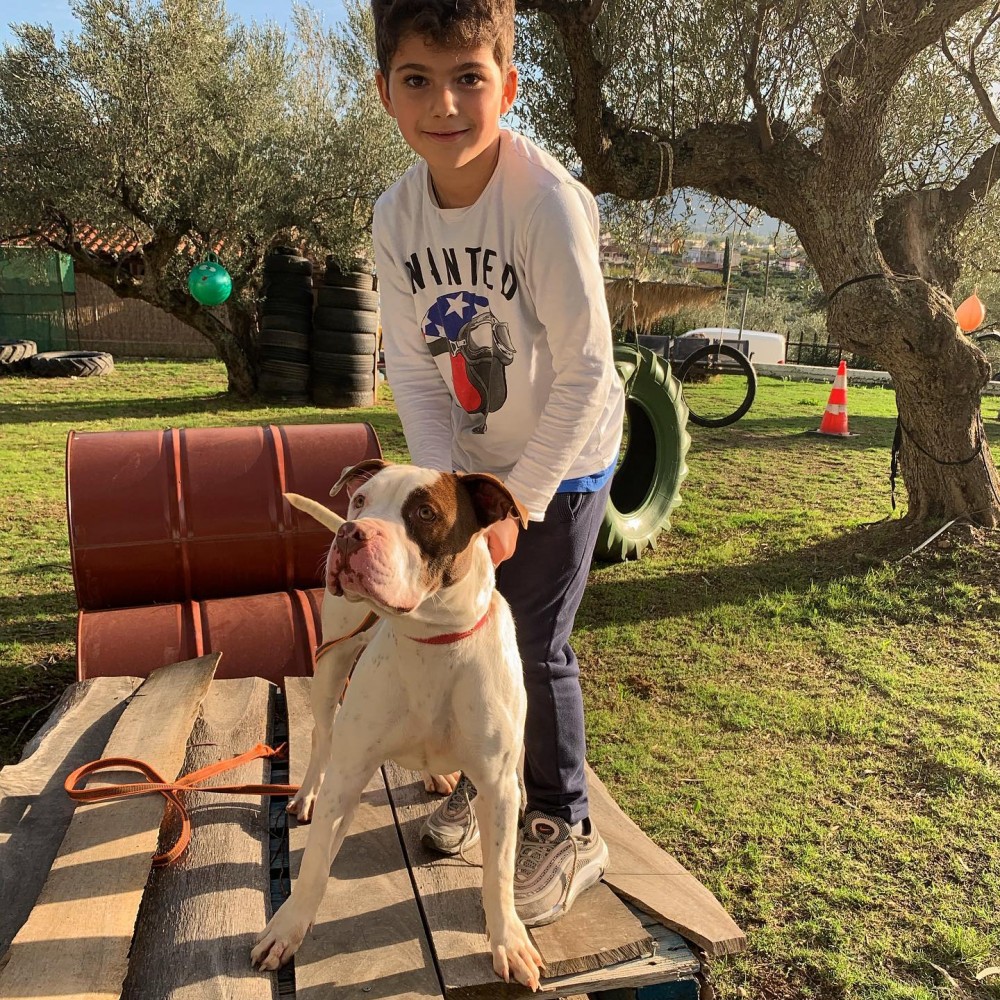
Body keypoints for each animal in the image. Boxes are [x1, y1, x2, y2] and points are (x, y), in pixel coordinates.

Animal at [252, 459, 544, 990]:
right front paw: (286, 930)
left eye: (425, 513)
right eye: (360, 500)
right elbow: (314, 867)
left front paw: (509, 943)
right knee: (321, 734)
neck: (432, 638)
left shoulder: (500, 787)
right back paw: (304, 795)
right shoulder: (348, 775)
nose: (351, 532)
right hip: (331, 665)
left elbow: (498, 876)